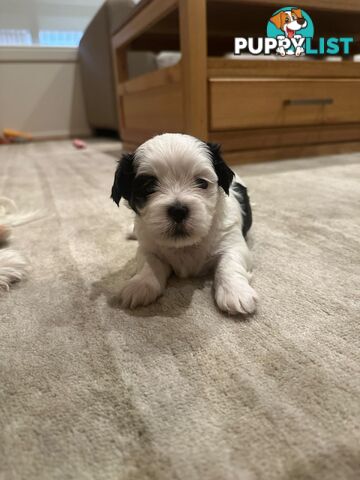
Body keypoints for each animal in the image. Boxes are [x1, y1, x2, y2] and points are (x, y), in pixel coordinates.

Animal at [111, 134, 258, 316]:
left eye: (202, 183)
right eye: (148, 187)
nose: (178, 211)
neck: (184, 245)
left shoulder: (231, 240)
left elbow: (229, 262)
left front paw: (235, 292)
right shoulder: (147, 247)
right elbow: (148, 263)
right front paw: (140, 284)